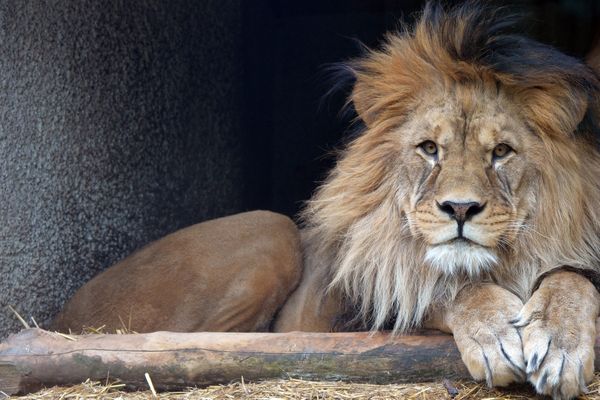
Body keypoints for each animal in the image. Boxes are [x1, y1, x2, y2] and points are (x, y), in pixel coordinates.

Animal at [52, 3, 600, 400]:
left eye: (501, 152)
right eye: (429, 149)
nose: (460, 209)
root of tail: (58, 318)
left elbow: (570, 279)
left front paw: (560, 342)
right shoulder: (366, 301)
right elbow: (443, 288)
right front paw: (493, 330)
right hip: (269, 228)